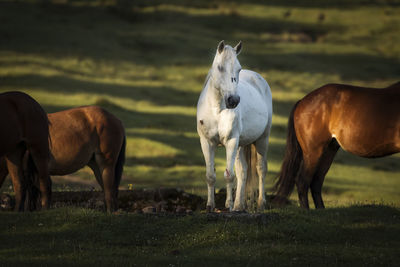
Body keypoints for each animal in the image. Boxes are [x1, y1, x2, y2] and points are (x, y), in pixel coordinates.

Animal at [196, 40, 272, 213]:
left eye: (238, 68)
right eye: (219, 67)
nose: (233, 100)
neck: (217, 110)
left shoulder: (231, 141)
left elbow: (229, 175)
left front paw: (228, 205)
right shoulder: (206, 142)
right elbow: (211, 175)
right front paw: (210, 206)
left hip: (262, 139)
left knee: (261, 169)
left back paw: (260, 204)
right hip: (241, 145)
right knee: (243, 171)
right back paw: (239, 206)